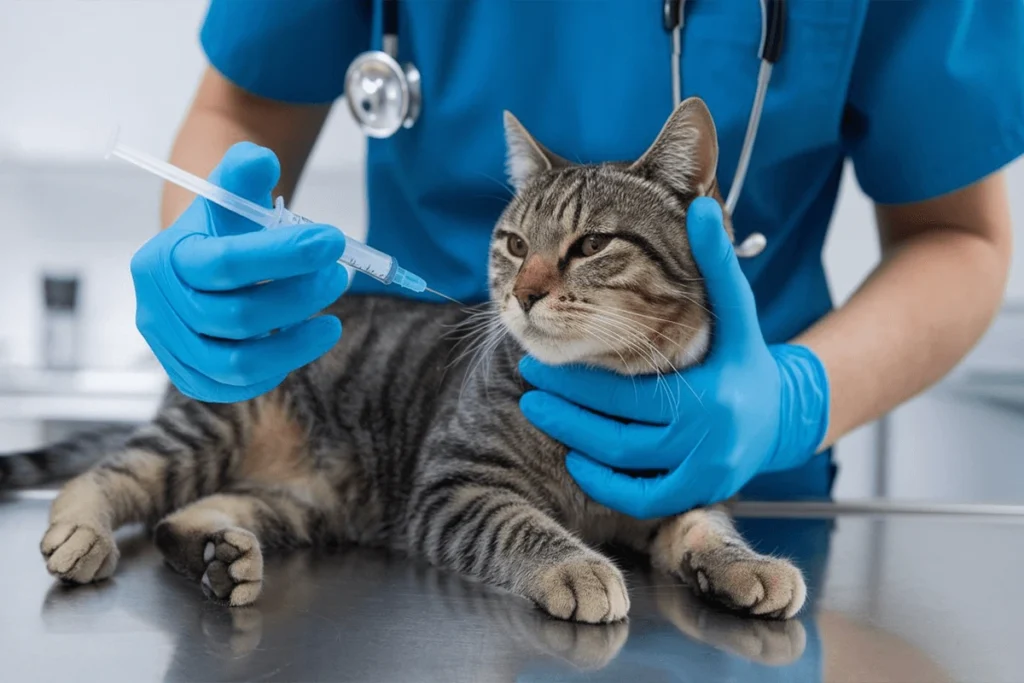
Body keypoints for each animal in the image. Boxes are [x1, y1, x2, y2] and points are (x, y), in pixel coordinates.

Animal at [8, 97, 806, 626]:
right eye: (515, 244)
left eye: (590, 245)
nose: (523, 292)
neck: (600, 385)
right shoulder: (453, 488)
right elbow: (522, 527)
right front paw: (578, 564)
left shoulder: (677, 482)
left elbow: (707, 527)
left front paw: (747, 565)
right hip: (208, 432)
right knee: (107, 474)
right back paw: (80, 532)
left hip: (297, 505)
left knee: (184, 516)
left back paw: (220, 558)